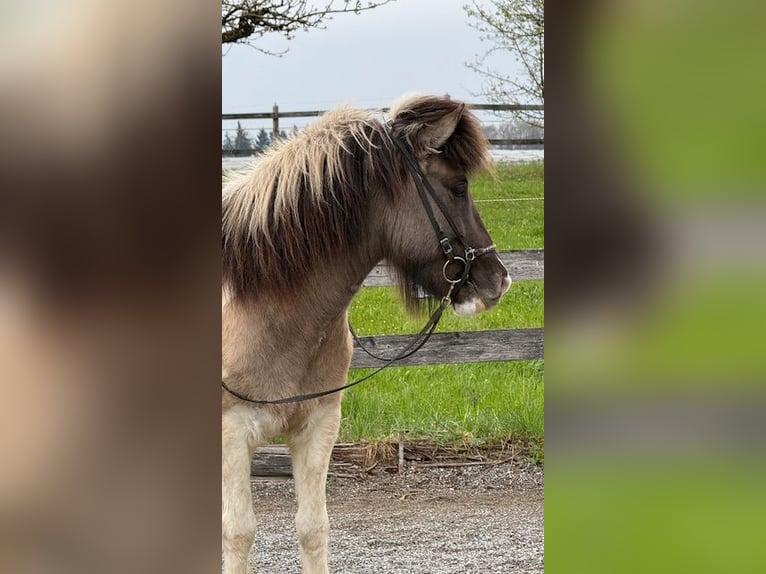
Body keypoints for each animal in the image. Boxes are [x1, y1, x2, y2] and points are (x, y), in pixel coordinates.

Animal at [221, 94, 512, 573]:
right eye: (458, 187)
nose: (499, 280)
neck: (260, 300)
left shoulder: (318, 424)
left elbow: (313, 527)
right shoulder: (232, 434)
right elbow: (239, 533)